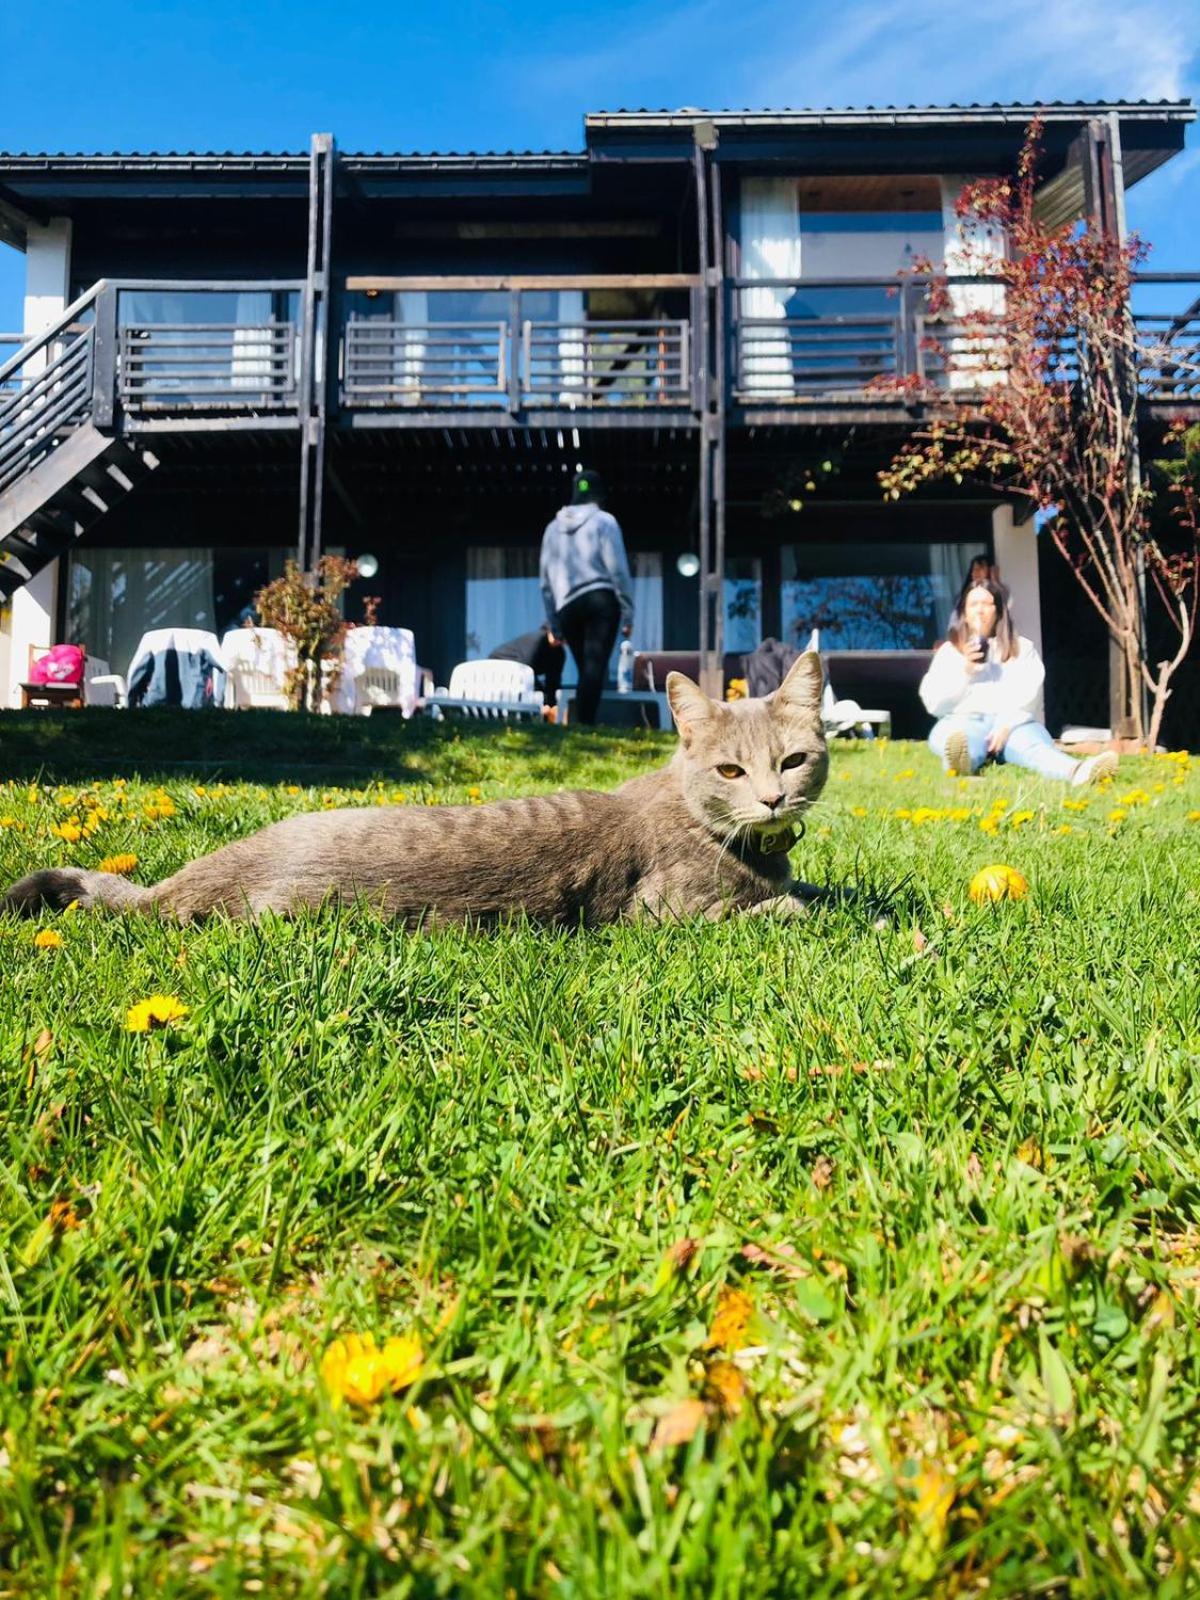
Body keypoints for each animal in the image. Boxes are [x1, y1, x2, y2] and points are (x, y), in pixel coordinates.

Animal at [0, 649, 832, 928]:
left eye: (792, 761)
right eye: (730, 772)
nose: (771, 799)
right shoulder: (670, 914)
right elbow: (786, 907)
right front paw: (818, 905)